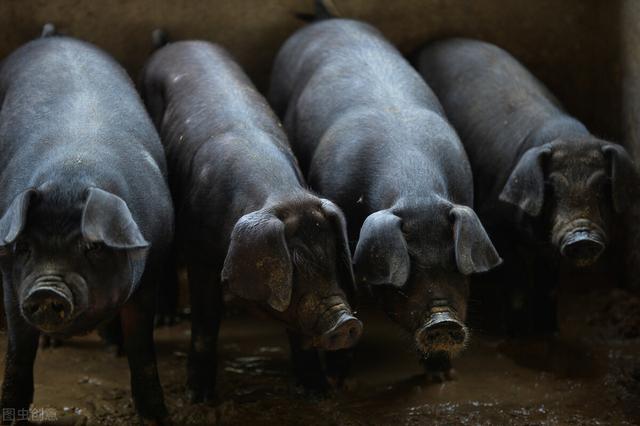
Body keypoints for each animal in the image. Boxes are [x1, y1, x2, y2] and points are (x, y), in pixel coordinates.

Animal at [0, 29, 174, 422]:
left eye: (92, 246)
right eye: (23, 246)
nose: (45, 290)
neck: (71, 173)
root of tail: (54, 36)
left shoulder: (151, 272)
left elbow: (143, 351)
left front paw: (157, 416)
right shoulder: (12, 286)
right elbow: (18, 355)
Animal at [140, 40, 360, 400]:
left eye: (332, 255)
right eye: (293, 263)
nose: (346, 322)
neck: (280, 193)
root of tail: (175, 43)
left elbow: (296, 331)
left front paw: (318, 392)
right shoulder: (200, 253)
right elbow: (206, 321)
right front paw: (199, 398)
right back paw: (165, 320)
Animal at [268, 15, 502, 378]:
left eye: (456, 263)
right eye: (409, 267)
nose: (443, 321)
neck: (416, 189)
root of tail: (326, 19)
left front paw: (440, 376)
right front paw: (339, 379)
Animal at [416, 39, 640, 332]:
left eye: (602, 186)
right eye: (552, 188)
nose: (582, 235)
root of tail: (434, 43)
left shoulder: (550, 247)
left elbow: (549, 284)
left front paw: (549, 330)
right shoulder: (495, 225)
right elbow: (517, 283)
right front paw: (518, 332)